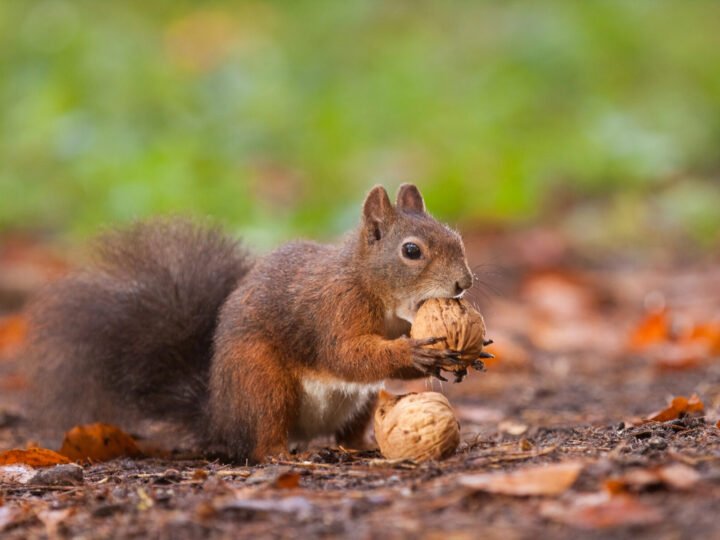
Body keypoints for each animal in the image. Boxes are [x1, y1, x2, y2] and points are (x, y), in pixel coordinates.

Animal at [28, 184, 476, 462]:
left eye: (456, 238)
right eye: (411, 251)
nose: (464, 283)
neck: (370, 286)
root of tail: (219, 416)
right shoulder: (335, 309)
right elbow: (345, 354)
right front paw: (415, 353)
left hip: (358, 403)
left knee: (347, 430)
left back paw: (362, 444)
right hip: (260, 382)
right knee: (262, 439)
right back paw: (285, 455)